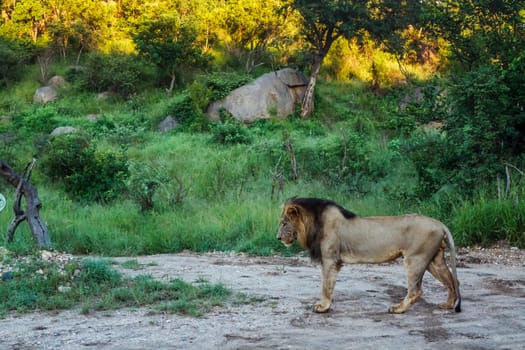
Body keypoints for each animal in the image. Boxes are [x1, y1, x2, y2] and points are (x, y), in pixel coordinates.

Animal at [276, 197, 460, 314]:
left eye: (284, 223)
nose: (278, 238)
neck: (313, 225)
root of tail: (439, 223)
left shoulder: (329, 259)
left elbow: (326, 286)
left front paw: (323, 307)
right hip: (434, 260)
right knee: (453, 281)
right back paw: (448, 305)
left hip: (416, 259)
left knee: (416, 290)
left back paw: (398, 309)